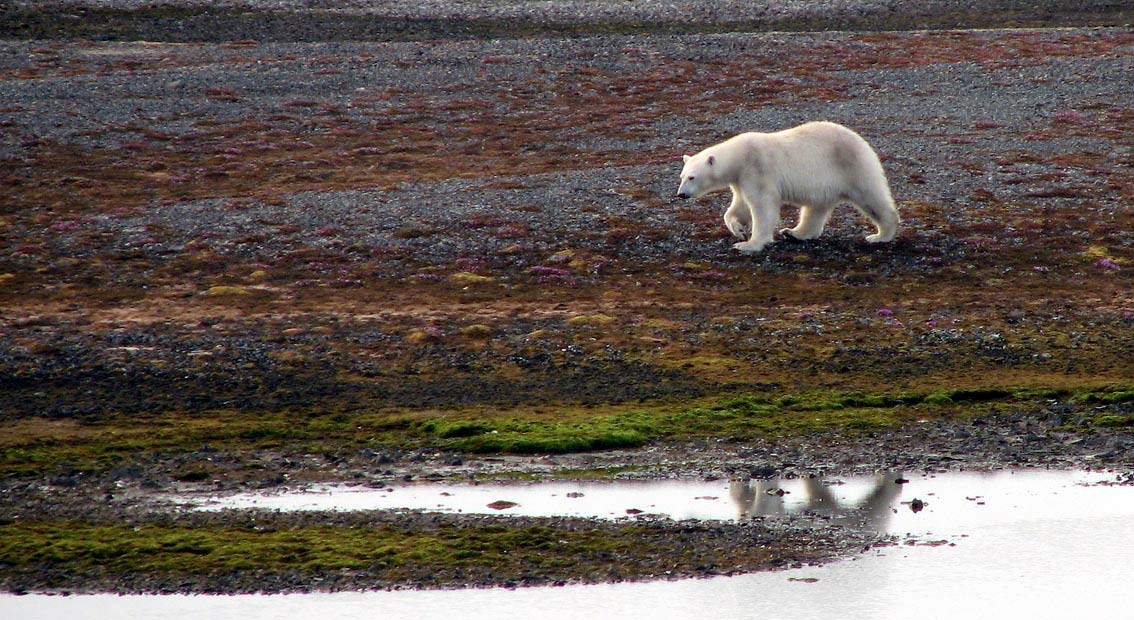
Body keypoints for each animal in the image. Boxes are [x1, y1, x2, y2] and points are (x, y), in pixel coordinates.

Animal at [671, 122, 902, 253]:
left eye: (692, 177)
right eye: (681, 176)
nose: (681, 194)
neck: (739, 156)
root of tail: (863, 142)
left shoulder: (757, 169)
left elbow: (762, 205)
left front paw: (749, 244)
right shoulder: (740, 178)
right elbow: (740, 205)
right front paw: (738, 229)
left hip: (851, 167)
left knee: (870, 197)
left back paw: (881, 235)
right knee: (814, 209)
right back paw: (794, 232)